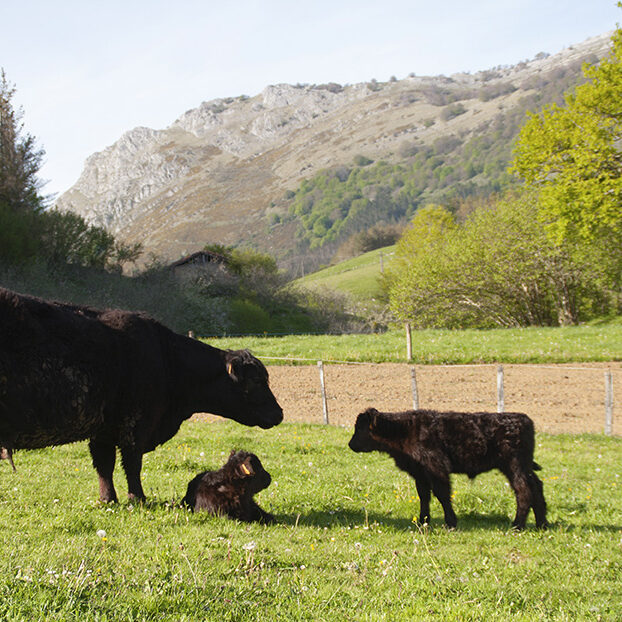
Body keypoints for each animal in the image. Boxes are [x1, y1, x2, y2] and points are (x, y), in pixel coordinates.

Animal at [0, 290, 282, 504]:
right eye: (256, 381)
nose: (279, 413)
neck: (167, 359)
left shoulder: (103, 430)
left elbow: (105, 464)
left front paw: (108, 499)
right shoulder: (136, 425)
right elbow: (131, 463)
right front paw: (137, 498)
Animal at [348, 410, 548, 532]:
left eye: (360, 428)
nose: (350, 444)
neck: (403, 431)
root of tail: (523, 419)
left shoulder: (437, 467)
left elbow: (442, 494)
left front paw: (451, 522)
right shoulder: (420, 473)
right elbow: (424, 496)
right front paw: (423, 521)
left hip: (515, 465)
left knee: (524, 490)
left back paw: (517, 525)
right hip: (523, 467)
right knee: (537, 486)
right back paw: (542, 524)